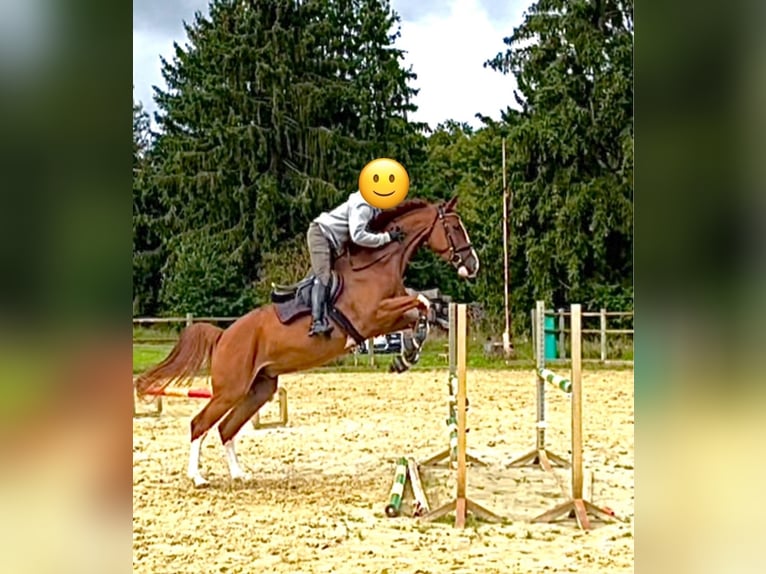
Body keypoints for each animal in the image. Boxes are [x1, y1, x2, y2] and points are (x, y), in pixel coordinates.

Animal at [134, 196, 479, 487]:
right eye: (454, 227)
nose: (472, 264)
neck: (377, 266)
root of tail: (223, 335)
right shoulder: (374, 317)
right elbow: (421, 301)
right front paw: (407, 353)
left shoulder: (387, 316)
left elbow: (420, 312)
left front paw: (406, 355)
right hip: (231, 389)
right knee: (200, 424)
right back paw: (198, 478)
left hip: (258, 389)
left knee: (225, 428)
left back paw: (239, 474)